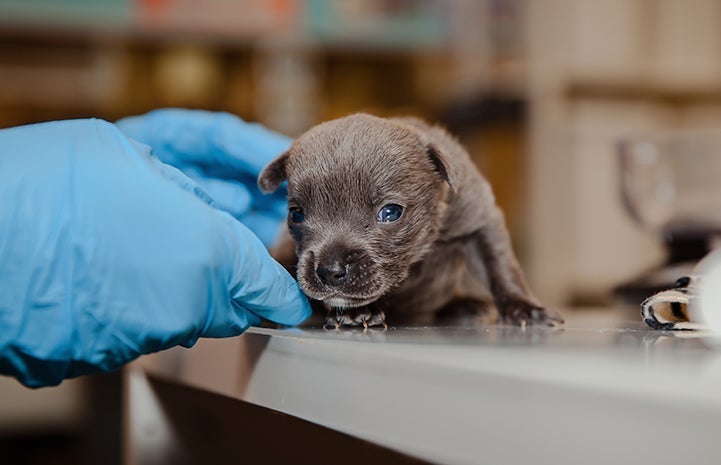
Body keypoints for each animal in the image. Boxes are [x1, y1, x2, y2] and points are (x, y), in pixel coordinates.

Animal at [258, 113, 564, 328]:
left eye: (390, 212)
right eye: (296, 214)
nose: (330, 271)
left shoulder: (479, 218)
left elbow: (500, 267)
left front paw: (524, 307)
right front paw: (358, 312)